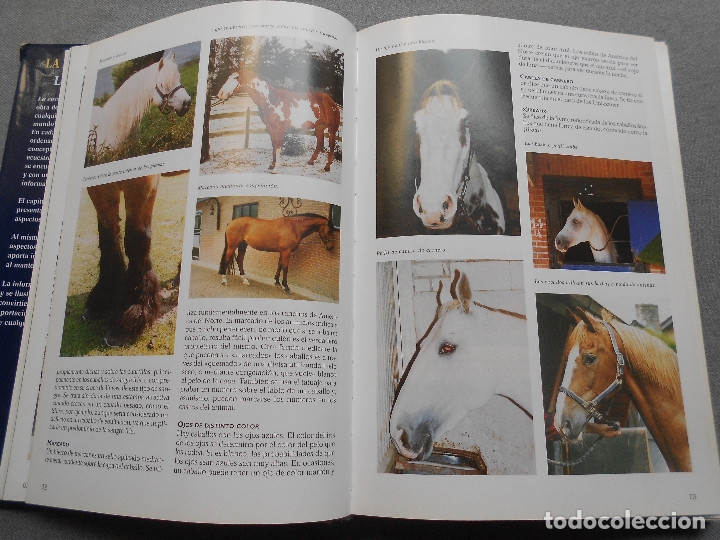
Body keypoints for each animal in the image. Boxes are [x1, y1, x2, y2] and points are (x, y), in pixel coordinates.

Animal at [82, 175, 165, 347]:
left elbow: (136, 240)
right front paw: (102, 300)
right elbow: (107, 237)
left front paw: (132, 314)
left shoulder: (142, 182)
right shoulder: (98, 189)